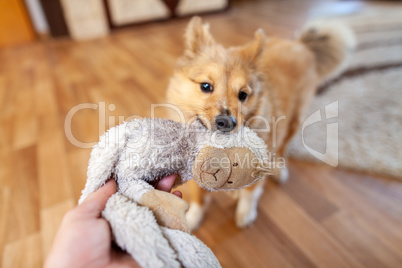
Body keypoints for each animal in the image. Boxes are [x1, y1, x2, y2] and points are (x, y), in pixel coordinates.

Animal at [165, 17, 354, 230]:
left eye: (243, 95)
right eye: (206, 86)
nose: (227, 122)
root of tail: (300, 45)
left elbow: (250, 193)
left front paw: (245, 214)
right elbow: (199, 197)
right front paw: (193, 218)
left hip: (293, 122)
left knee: (283, 148)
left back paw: (279, 171)